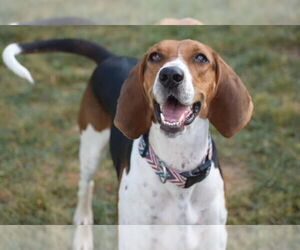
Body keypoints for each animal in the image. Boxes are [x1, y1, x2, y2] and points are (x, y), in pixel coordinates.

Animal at [2, 37, 253, 227]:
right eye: (155, 56)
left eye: (201, 58)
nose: (170, 75)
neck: (178, 166)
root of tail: (111, 58)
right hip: (90, 146)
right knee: (85, 186)